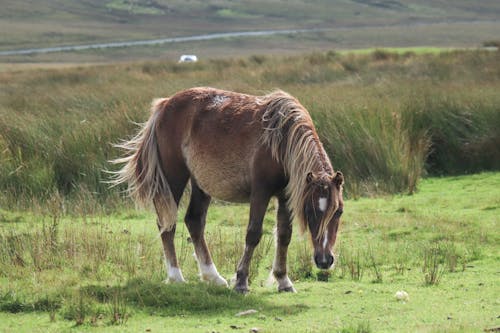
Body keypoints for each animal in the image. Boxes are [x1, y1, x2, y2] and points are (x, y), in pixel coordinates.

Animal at [111, 87, 344, 292]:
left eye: (338, 211)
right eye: (310, 210)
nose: (325, 260)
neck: (280, 141)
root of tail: (165, 104)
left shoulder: (285, 196)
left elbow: (284, 235)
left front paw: (283, 280)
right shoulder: (260, 193)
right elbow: (253, 234)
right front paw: (241, 281)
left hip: (200, 184)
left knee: (194, 221)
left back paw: (213, 277)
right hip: (173, 178)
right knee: (166, 224)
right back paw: (176, 277)